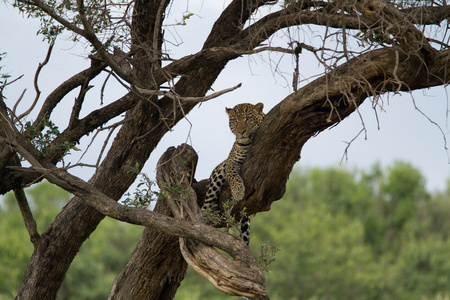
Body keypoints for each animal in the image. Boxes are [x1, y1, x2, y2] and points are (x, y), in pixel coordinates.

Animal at [203, 102, 266, 245]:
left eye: (248, 119)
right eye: (235, 121)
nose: (241, 132)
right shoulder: (230, 161)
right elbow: (232, 174)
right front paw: (238, 191)